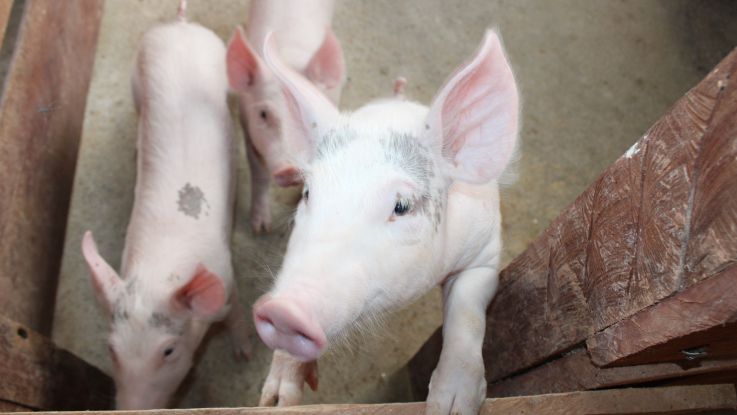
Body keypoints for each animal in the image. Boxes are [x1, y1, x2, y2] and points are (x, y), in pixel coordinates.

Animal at [81, 6, 251, 409]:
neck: (162, 272)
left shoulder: (227, 279)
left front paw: (244, 355)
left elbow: (237, 315)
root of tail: (181, 25)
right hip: (136, 77)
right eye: (111, 349)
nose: (130, 411)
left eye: (169, 351)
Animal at [226, 0, 345, 233]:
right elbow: (260, 175)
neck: (286, 59)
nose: (291, 168)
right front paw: (261, 228)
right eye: (263, 114)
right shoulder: (248, 131)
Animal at [252, 30, 519, 415]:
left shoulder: (485, 252)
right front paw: (276, 402)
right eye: (308, 193)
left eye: (402, 206)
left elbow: (466, 314)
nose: (285, 310)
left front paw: (449, 406)